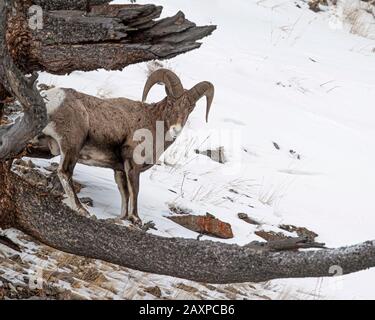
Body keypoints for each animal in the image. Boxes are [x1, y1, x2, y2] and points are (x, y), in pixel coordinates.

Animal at [40, 69, 214, 225]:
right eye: (171, 103)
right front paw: (136, 218)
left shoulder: (119, 170)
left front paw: (122, 218)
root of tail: (51, 99)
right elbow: (134, 191)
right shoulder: (132, 165)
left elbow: (125, 194)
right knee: (64, 172)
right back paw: (82, 209)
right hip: (72, 147)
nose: (176, 130)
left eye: (190, 108)